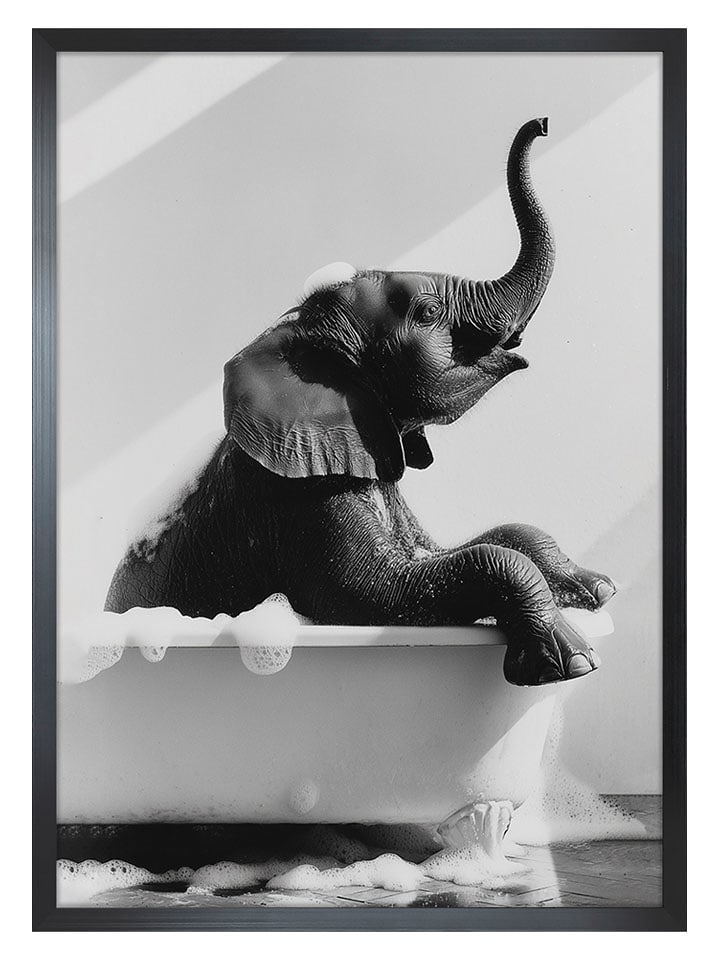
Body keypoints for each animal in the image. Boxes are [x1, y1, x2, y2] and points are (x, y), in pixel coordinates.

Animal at [106, 117, 615, 686]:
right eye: (427, 312)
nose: (543, 124)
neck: (295, 335)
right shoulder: (298, 497)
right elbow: (374, 593)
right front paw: (574, 662)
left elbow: (462, 546)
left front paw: (597, 589)